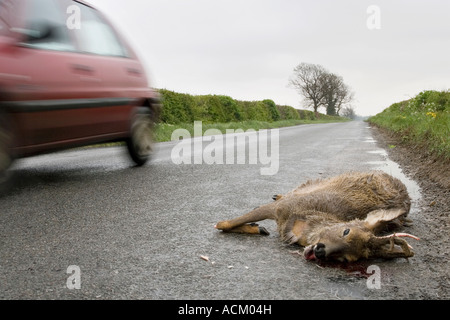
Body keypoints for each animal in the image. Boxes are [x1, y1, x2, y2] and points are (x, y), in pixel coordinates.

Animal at [214, 171, 418, 262]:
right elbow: (224, 224)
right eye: (346, 231)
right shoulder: (281, 207)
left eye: (346, 258)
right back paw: (278, 195)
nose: (321, 251)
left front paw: (257, 228)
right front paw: (254, 226)